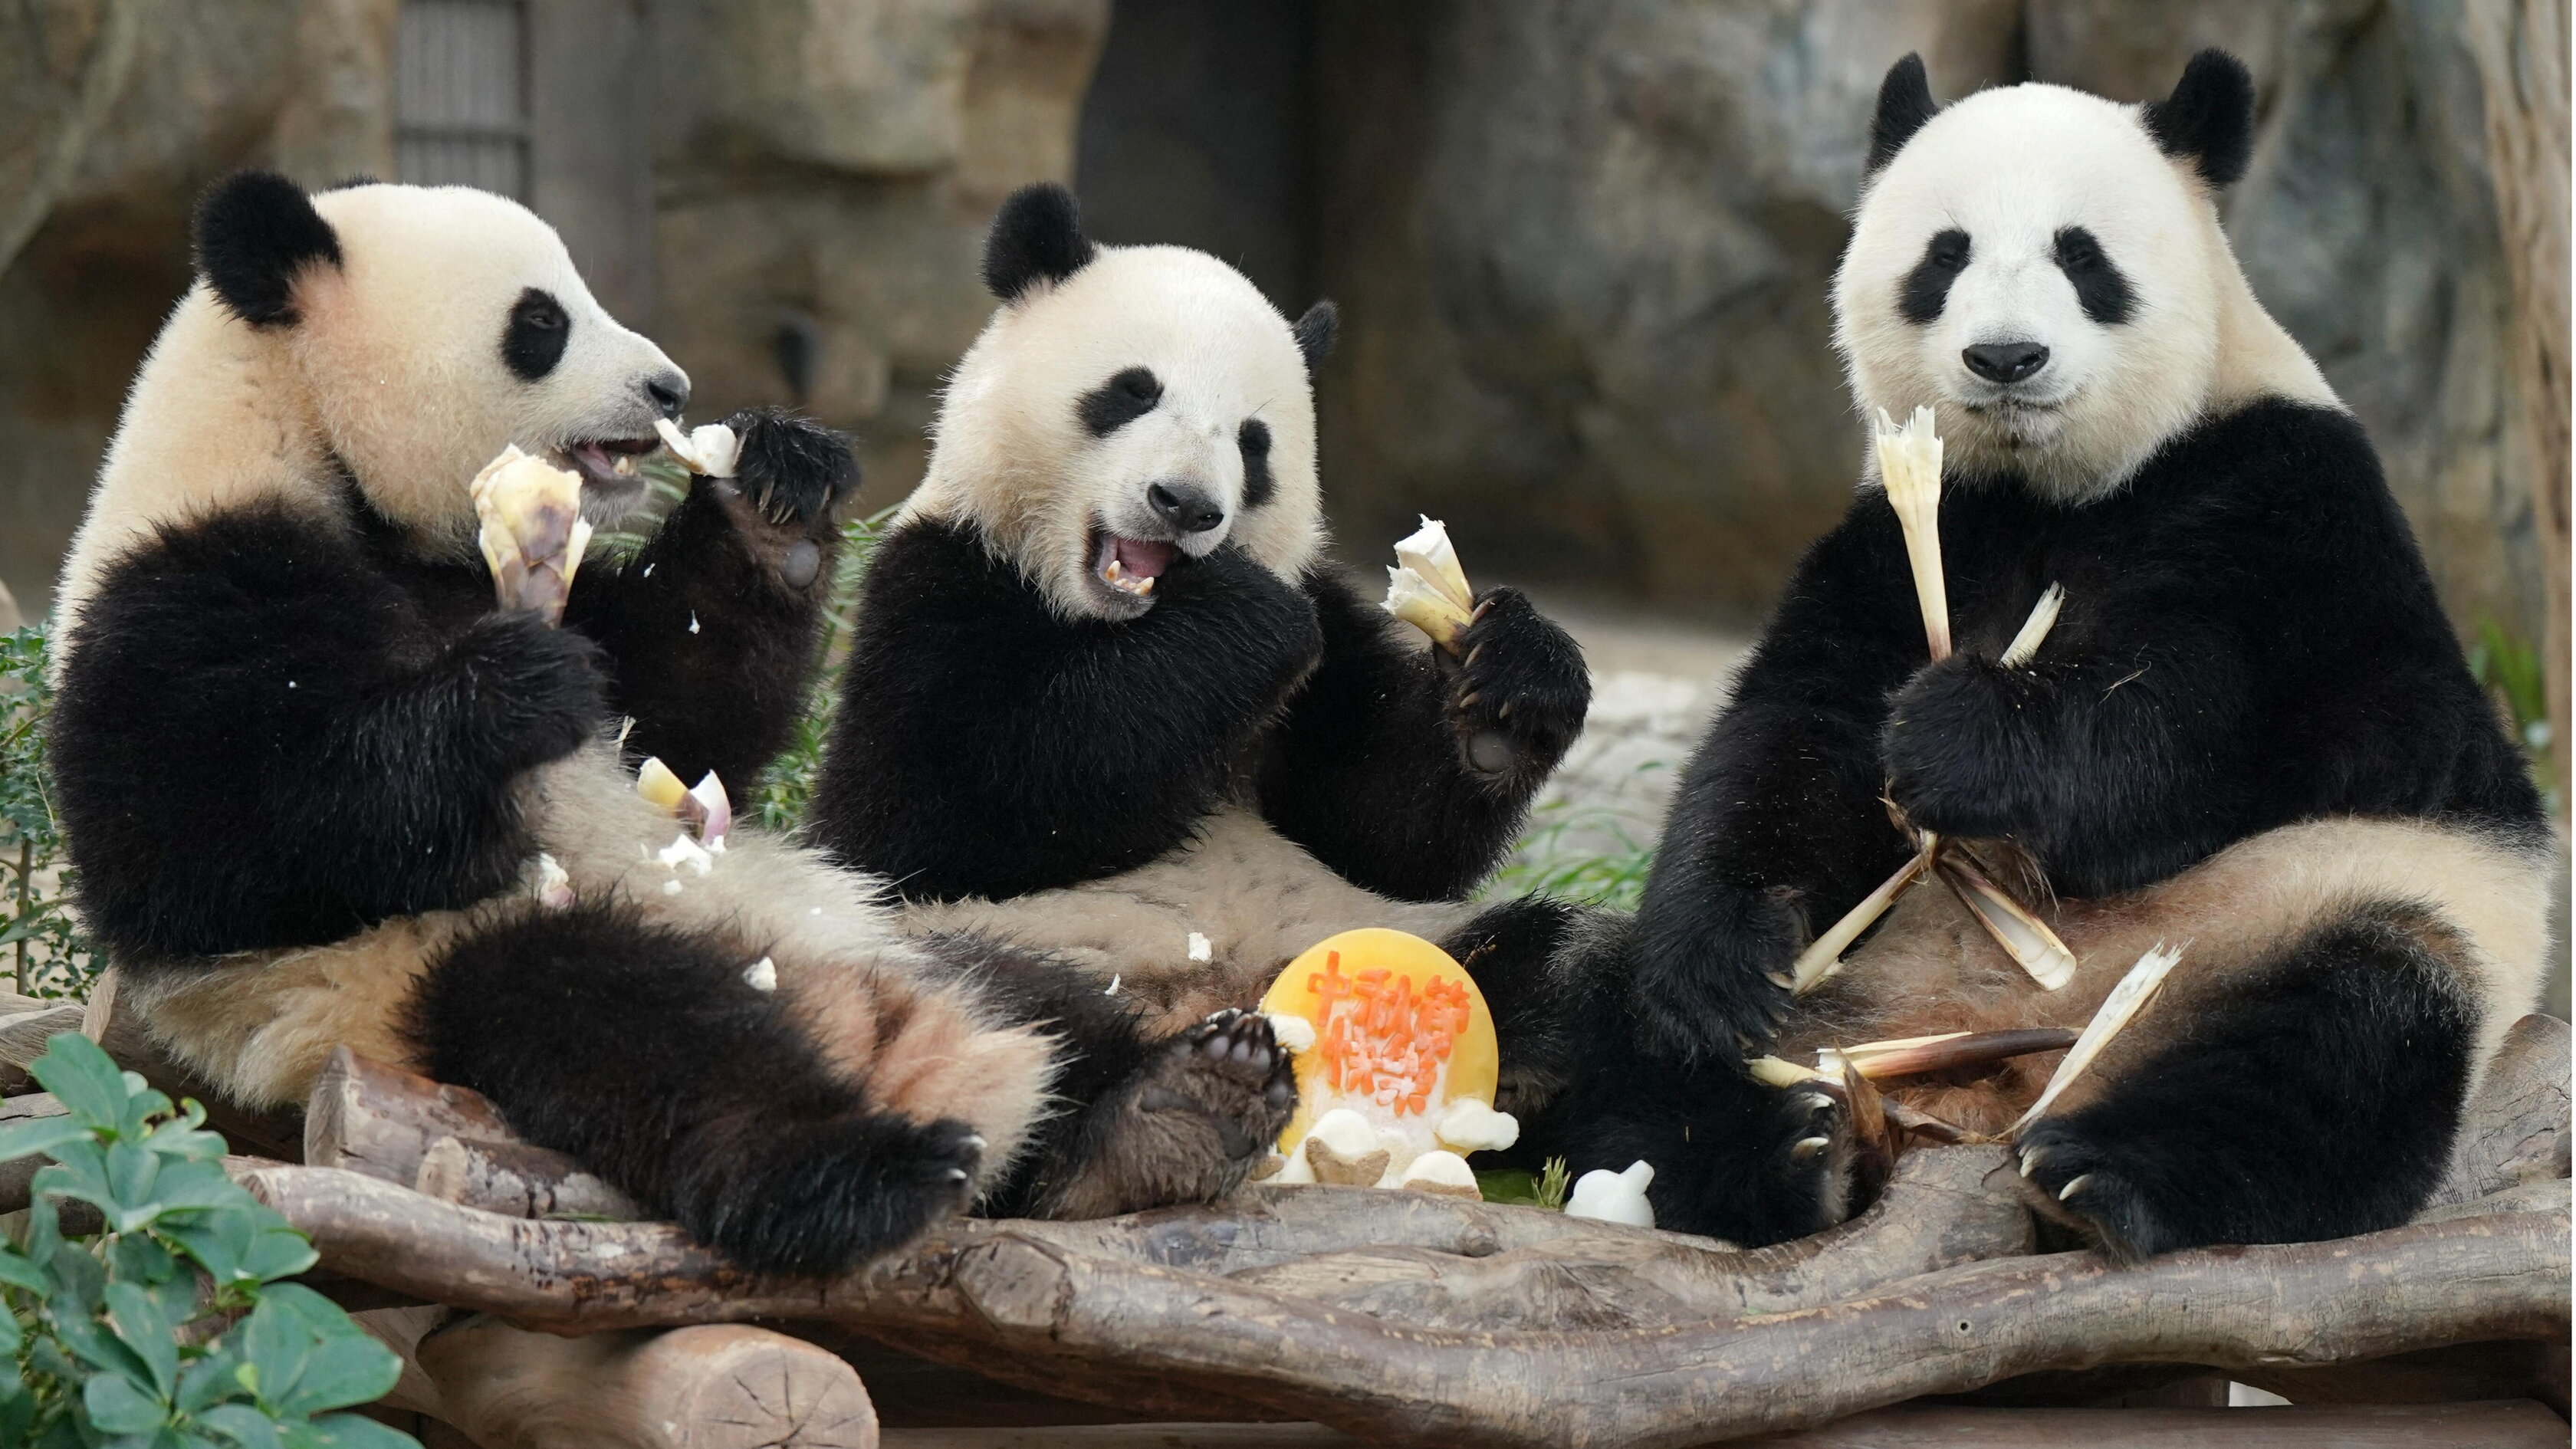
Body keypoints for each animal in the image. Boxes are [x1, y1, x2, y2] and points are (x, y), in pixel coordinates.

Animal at [44, 172, 1295, 1274]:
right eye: (540, 322)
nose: (667, 387)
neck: (300, 442)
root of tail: (878, 1027)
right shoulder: (180, 590)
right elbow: (211, 847)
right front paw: (511, 691)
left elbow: (686, 714)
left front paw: (769, 498)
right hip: (416, 978)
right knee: (631, 1030)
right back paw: (863, 1171)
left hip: (903, 929)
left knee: (1050, 998)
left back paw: (1179, 1100)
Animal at [805, 184, 1601, 1096]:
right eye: (1132, 391)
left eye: (1254, 442)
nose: (1184, 504)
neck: (1121, 627)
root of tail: (1219, 997)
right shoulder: (933, 585)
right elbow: (936, 805)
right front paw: (1243, 619)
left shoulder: (1332, 635)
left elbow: (1385, 831)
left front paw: (1510, 687)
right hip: (983, 938)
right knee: (999, 1011)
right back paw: (1163, 1103)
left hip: (1396, 935)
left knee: (1564, 963)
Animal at [1523, 51, 2554, 1257]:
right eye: (1946, 254)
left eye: (2082, 255)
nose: (2006, 357)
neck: (2051, 489)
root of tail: (1981, 1082)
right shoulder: (1910, 531)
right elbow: (1796, 732)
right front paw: (1727, 959)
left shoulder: (2293, 506)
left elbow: (2209, 730)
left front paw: (1961, 735)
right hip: (1850, 990)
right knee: (1599, 1002)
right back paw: (1786, 1151)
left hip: (2326, 903)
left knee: (2350, 1027)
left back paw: (2105, 1174)